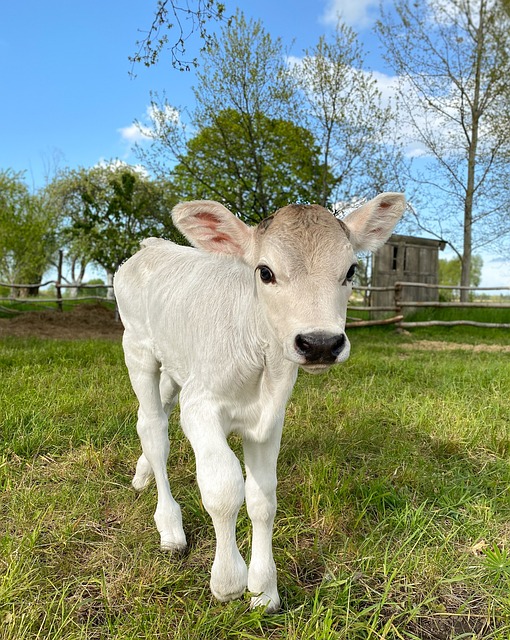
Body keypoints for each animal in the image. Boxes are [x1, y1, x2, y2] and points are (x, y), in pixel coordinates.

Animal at [113, 194, 404, 608]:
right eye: (265, 272)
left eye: (350, 271)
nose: (320, 343)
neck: (260, 366)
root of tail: (153, 244)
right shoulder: (200, 405)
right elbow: (223, 486)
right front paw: (228, 580)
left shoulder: (270, 420)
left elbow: (262, 497)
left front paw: (264, 588)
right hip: (137, 347)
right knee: (154, 429)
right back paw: (169, 527)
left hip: (175, 364)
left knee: (158, 413)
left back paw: (142, 475)